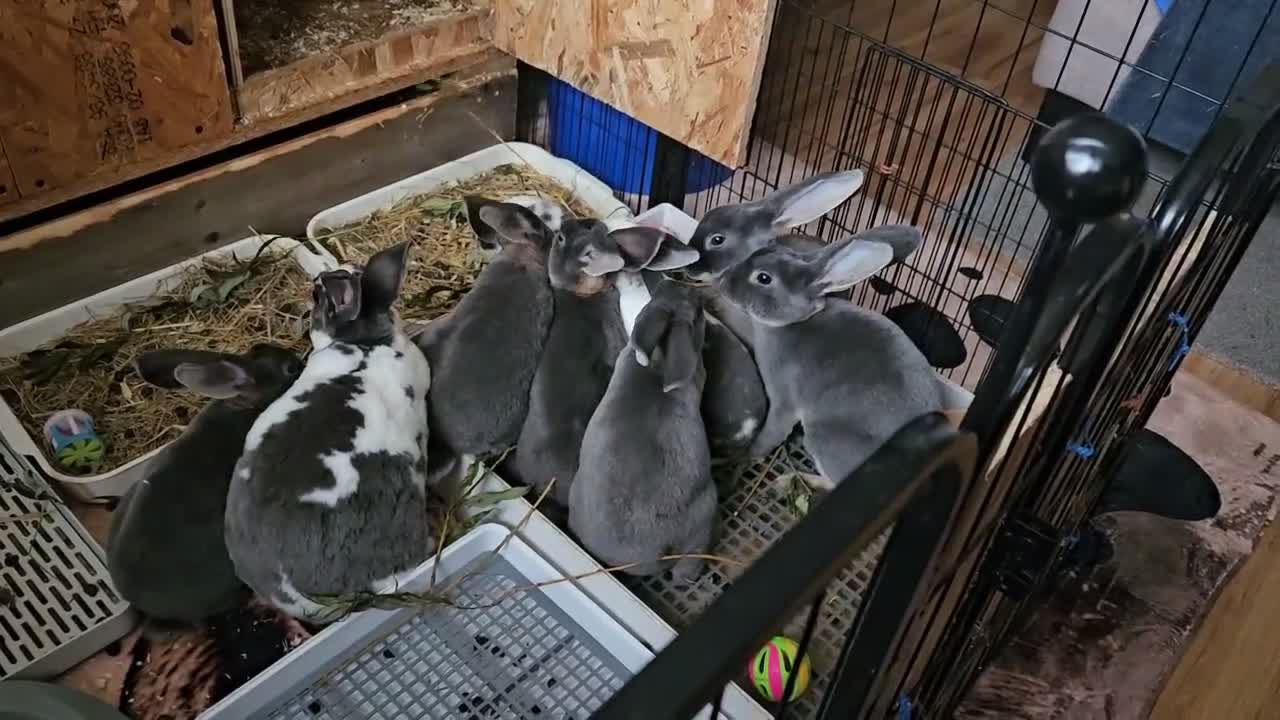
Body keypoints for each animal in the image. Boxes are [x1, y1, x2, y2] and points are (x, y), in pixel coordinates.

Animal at [716, 237, 948, 488]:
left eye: (764, 278)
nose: (723, 280)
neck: (793, 321)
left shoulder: (784, 401)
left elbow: (771, 433)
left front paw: (749, 454)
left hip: (822, 439)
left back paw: (791, 479)